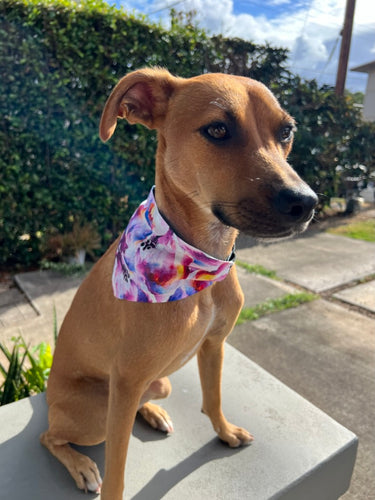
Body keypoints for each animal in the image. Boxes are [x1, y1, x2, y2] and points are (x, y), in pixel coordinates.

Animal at [40, 68, 318, 498]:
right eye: (217, 129)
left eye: (286, 131)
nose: (305, 203)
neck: (200, 264)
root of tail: (48, 398)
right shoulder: (124, 384)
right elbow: (118, 468)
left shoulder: (214, 345)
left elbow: (213, 397)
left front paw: (224, 431)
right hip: (95, 411)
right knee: (51, 437)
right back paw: (81, 464)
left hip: (159, 383)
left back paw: (153, 411)